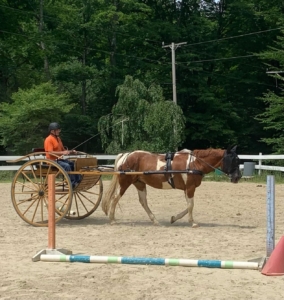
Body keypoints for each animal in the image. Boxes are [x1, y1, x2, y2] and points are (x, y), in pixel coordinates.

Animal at [101, 146, 241, 227]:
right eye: (233, 160)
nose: (237, 177)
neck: (194, 163)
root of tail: (126, 156)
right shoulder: (190, 188)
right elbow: (191, 205)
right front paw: (192, 222)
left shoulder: (187, 189)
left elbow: (188, 206)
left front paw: (174, 218)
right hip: (124, 183)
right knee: (115, 198)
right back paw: (112, 220)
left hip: (139, 183)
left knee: (143, 201)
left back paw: (155, 220)